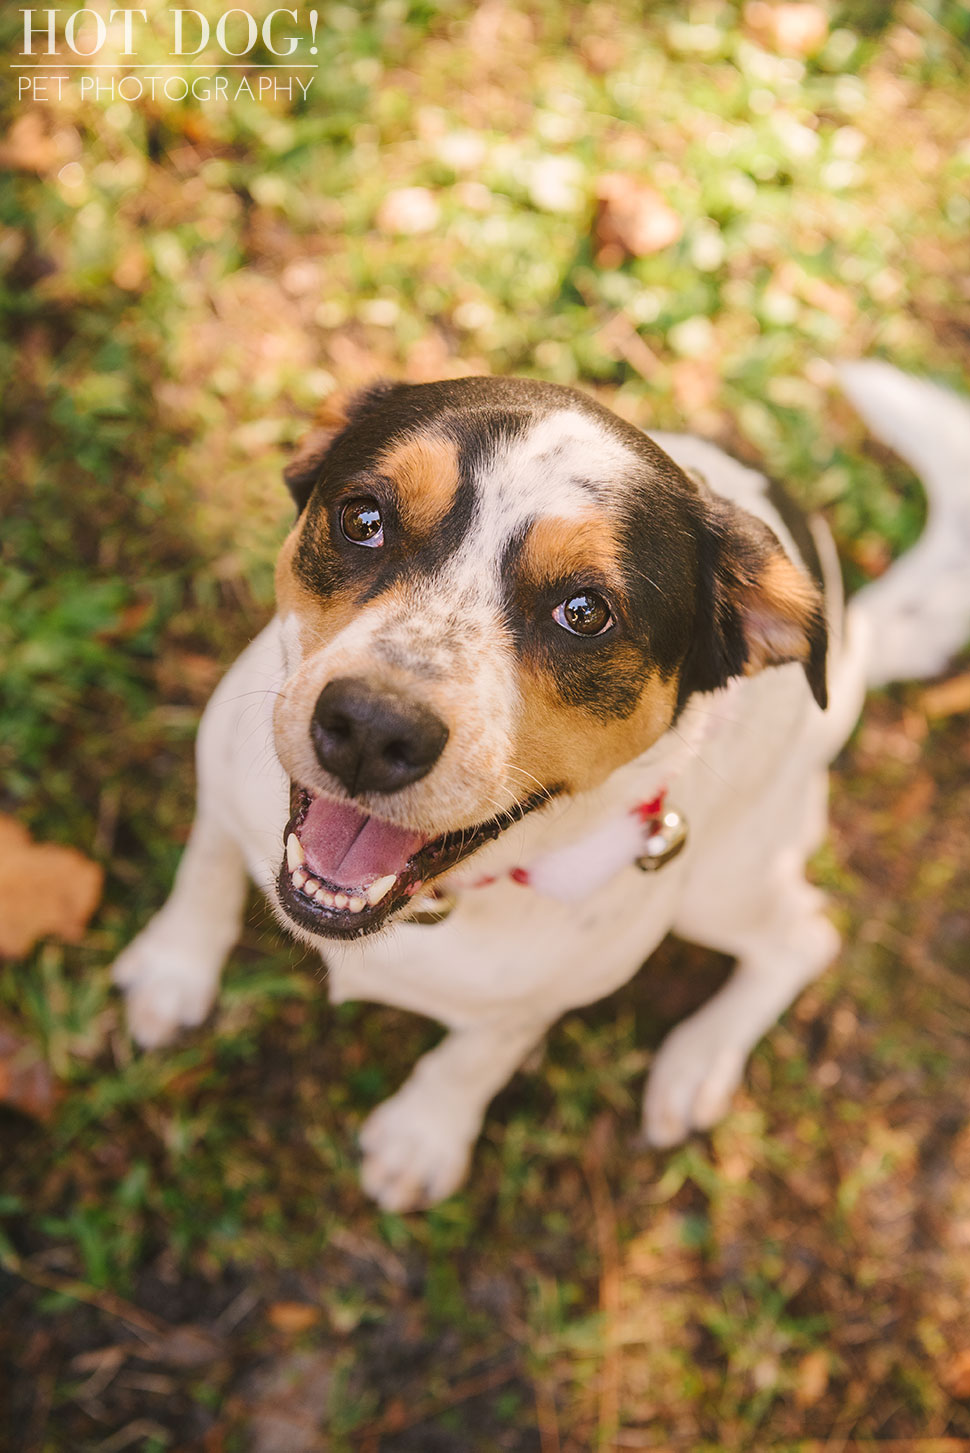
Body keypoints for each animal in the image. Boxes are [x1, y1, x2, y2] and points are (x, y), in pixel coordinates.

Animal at [113, 366, 970, 1214]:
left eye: (584, 612)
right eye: (363, 518)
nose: (371, 730)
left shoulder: (550, 987)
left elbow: (482, 1051)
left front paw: (424, 1134)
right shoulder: (223, 781)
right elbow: (206, 871)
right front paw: (174, 969)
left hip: (723, 882)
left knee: (806, 935)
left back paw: (699, 1059)